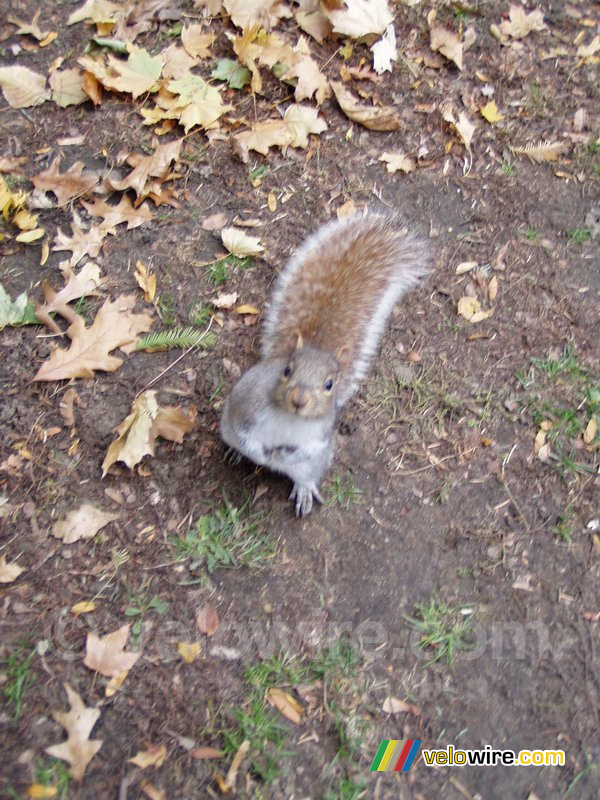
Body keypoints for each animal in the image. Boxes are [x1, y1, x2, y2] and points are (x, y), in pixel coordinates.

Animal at [220, 209, 432, 516]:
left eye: (330, 384)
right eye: (287, 371)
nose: (299, 400)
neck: (290, 417)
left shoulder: (320, 434)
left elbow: (308, 446)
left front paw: (287, 452)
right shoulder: (246, 406)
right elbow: (246, 434)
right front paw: (257, 451)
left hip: (313, 464)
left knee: (305, 473)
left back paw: (304, 490)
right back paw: (237, 451)